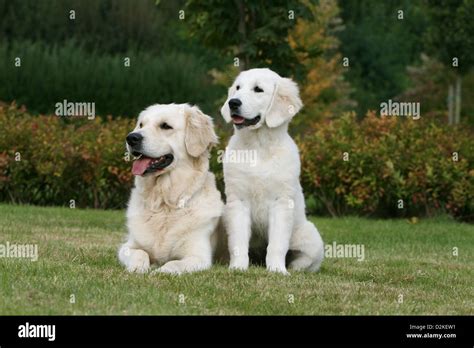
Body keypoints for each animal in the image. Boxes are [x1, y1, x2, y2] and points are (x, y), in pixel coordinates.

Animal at [117, 103, 223, 274]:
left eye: (165, 126)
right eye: (141, 125)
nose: (132, 138)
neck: (164, 202)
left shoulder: (199, 256)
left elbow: (174, 264)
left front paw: (159, 271)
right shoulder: (127, 247)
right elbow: (140, 253)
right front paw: (138, 267)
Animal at [220, 68, 324, 274]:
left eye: (258, 89)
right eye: (238, 88)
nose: (233, 102)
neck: (258, 147)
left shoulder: (281, 203)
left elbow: (277, 244)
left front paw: (277, 270)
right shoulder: (237, 201)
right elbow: (238, 241)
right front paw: (237, 268)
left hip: (311, 238)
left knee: (301, 261)